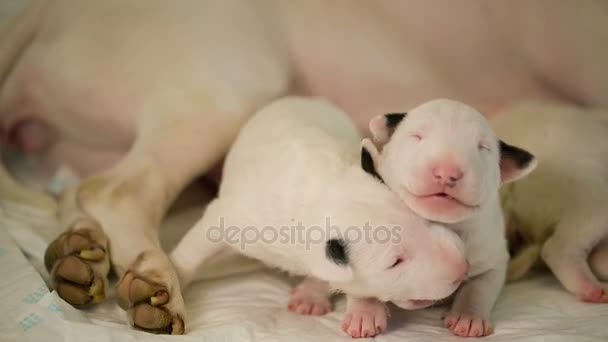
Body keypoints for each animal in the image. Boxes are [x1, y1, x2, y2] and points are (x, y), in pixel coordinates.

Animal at [171, 95, 470, 336]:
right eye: (395, 262)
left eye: (425, 219)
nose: (463, 267)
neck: (321, 192)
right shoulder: (236, 217)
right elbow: (198, 244)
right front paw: (171, 279)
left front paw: (363, 309)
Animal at [360, 98, 536, 336]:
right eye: (416, 136)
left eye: (483, 147)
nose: (446, 172)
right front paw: (365, 313)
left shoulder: (493, 255)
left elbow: (479, 286)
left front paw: (468, 317)